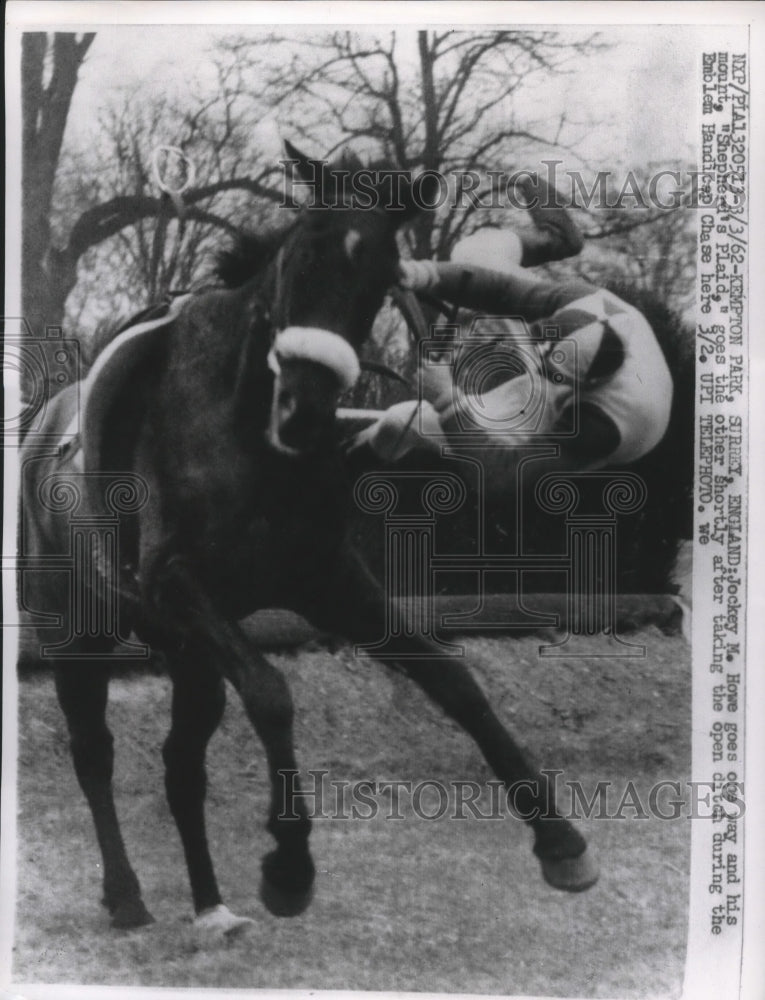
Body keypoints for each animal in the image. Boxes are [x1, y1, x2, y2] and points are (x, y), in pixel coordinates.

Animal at [17, 145, 596, 940]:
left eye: (381, 275)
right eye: (299, 258)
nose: (302, 410)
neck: (245, 433)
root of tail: (42, 428)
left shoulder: (326, 579)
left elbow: (452, 679)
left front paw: (560, 839)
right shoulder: (176, 580)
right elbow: (271, 694)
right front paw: (289, 867)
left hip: (185, 648)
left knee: (181, 764)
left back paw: (211, 905)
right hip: (79, 630)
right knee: (94, 753)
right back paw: (127, 895)